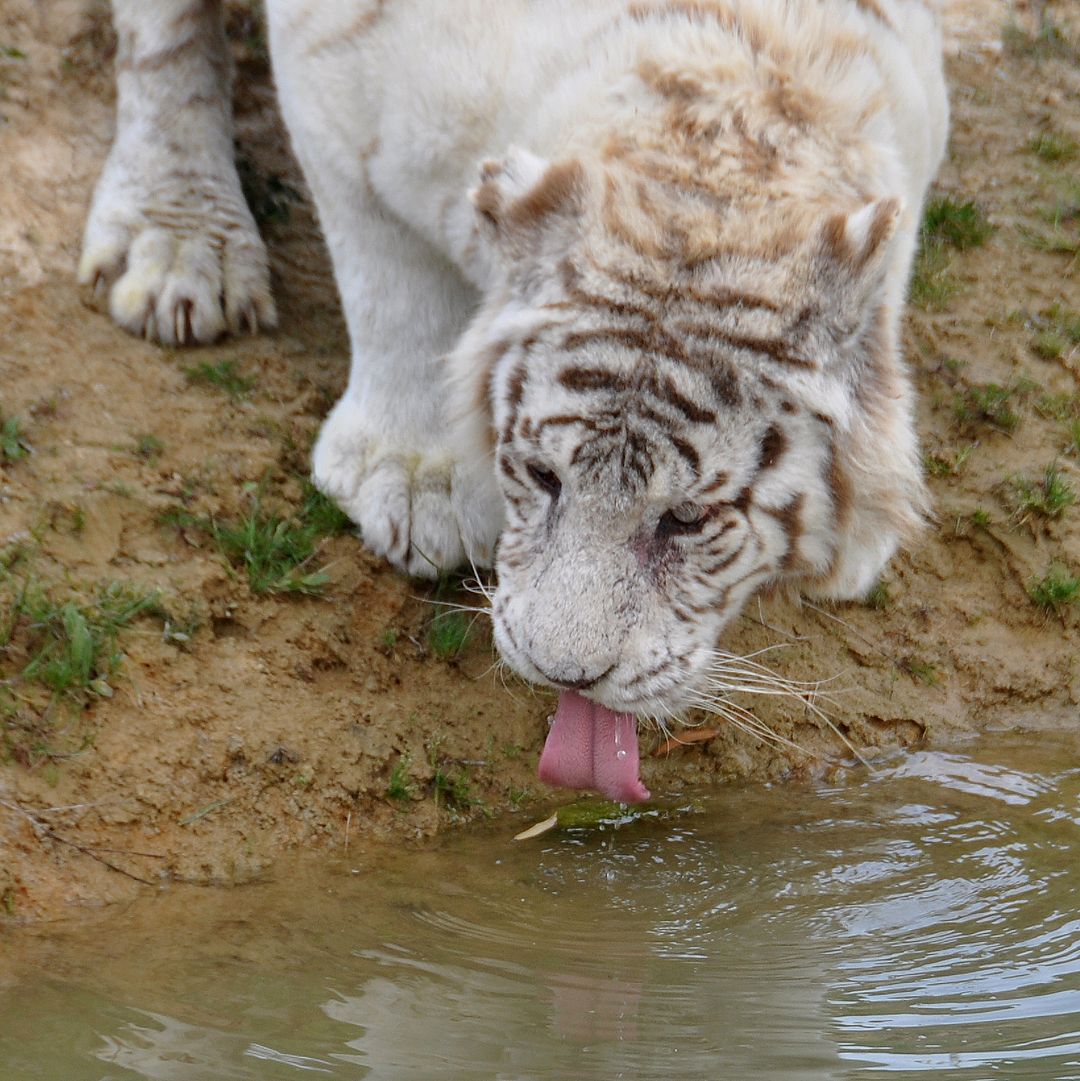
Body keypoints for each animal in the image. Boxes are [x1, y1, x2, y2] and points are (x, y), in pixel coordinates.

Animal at [80, 0, 948, 803]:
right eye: (541, 476)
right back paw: (178, 245)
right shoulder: (333, 75)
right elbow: (387, 279)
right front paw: (414, 476)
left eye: (688, 518)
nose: (565, 673)